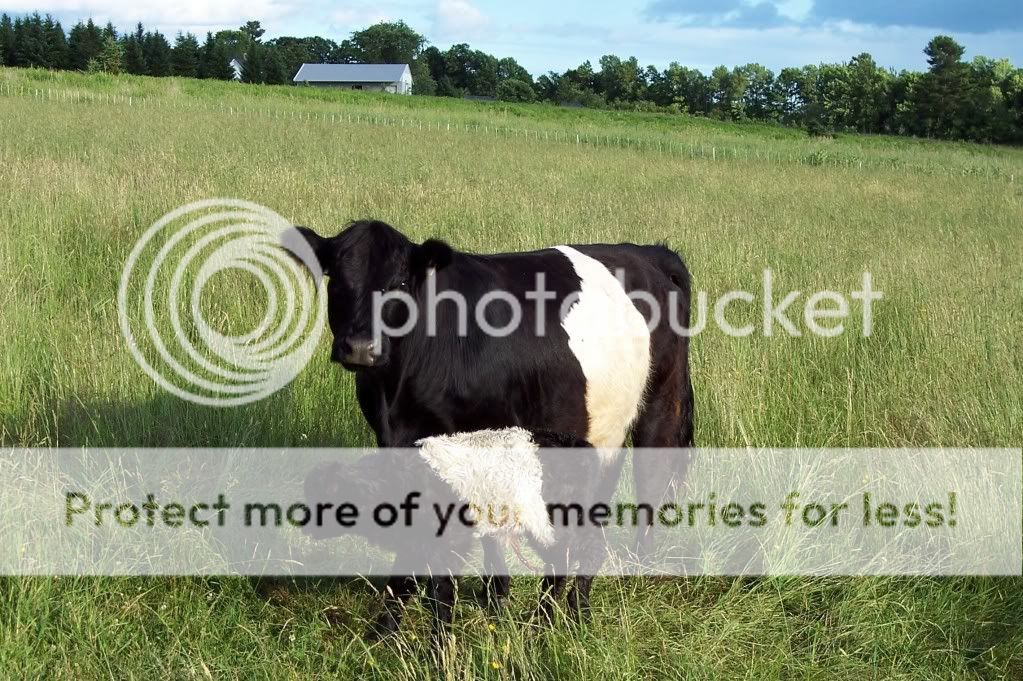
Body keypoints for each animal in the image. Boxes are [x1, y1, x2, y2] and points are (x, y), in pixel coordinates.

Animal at [285, 220, 695, 634]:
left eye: (399, 281)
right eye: (336, 278)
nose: (360, 347)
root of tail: (648, 252)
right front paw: (485, 598)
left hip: (659, 407)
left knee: (650, 483)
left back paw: (618, 581)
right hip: (600, 435)